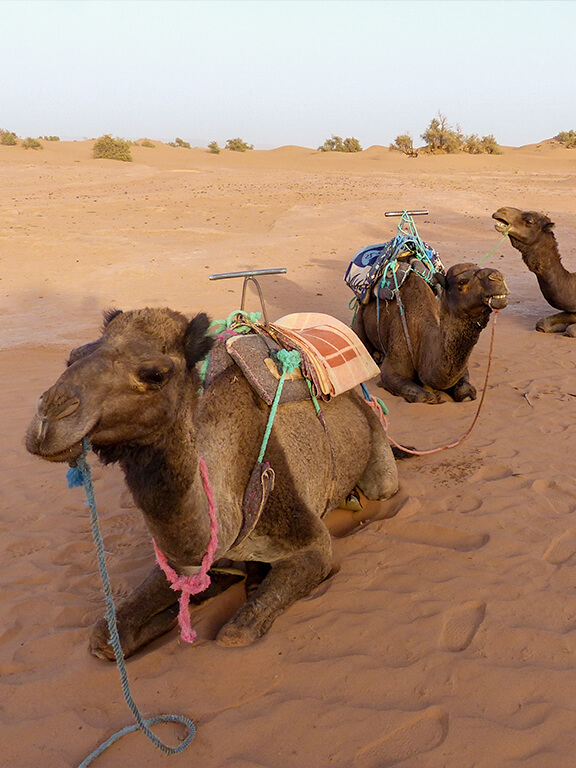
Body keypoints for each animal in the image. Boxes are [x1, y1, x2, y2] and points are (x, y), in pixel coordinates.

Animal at [24, 306, 398, 660]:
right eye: (72, 357)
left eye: (155, 375)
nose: (47, 418)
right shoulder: (185, 565)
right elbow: (104, 636)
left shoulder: (313, 546)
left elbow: (235, 634)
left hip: (377, 451)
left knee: (382, 484)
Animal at [352, 262, 508, 404]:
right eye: (462, 281)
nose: (498, 277)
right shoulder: (391, 371)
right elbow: (425, 396)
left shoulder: (462, 371)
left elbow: (466, 392)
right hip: (359, 319)